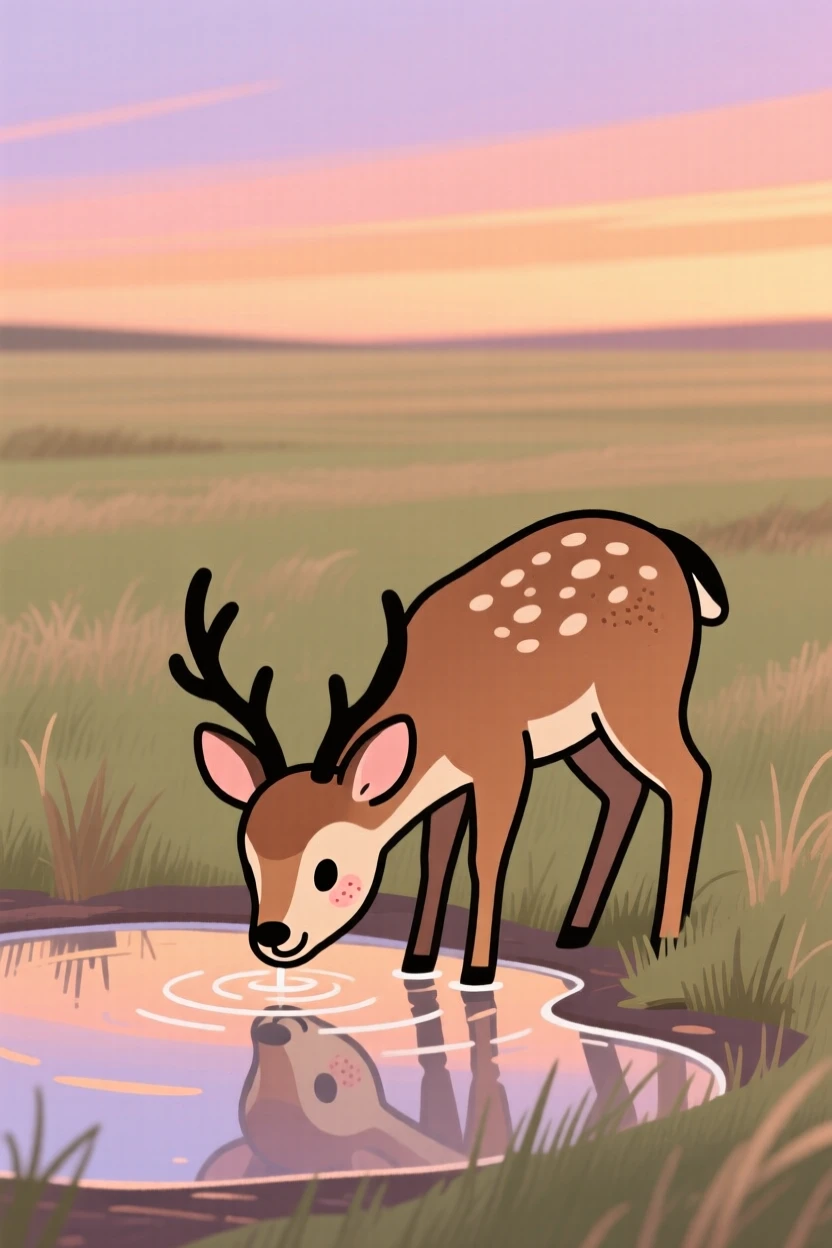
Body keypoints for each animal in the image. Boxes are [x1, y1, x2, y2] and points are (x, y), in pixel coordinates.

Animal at [169, 508, 729, 989]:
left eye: (326, 870)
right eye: (249, 856)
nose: (272, 936)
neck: (436, 715)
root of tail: (671, 547)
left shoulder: (504, 756)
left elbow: (486, 857)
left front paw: (477, 972)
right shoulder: (452, 783)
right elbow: (434, 858)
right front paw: (416, 961)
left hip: (644, 692)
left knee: (690, 774)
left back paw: (665, 937)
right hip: (584, 730)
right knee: (624, 790)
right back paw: (575, 930)